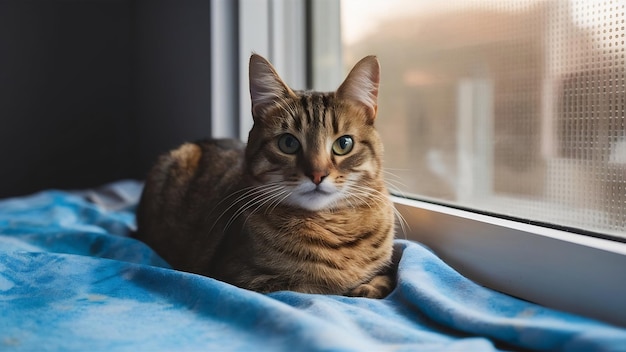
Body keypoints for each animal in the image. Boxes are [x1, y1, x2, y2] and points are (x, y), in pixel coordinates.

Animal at [135, 53, 394, 298]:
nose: (317, 174)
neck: (329, 225)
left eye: (344, 144)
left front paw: (370, 285)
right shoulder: (242, 275)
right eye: (288, 143)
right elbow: (315, 285)